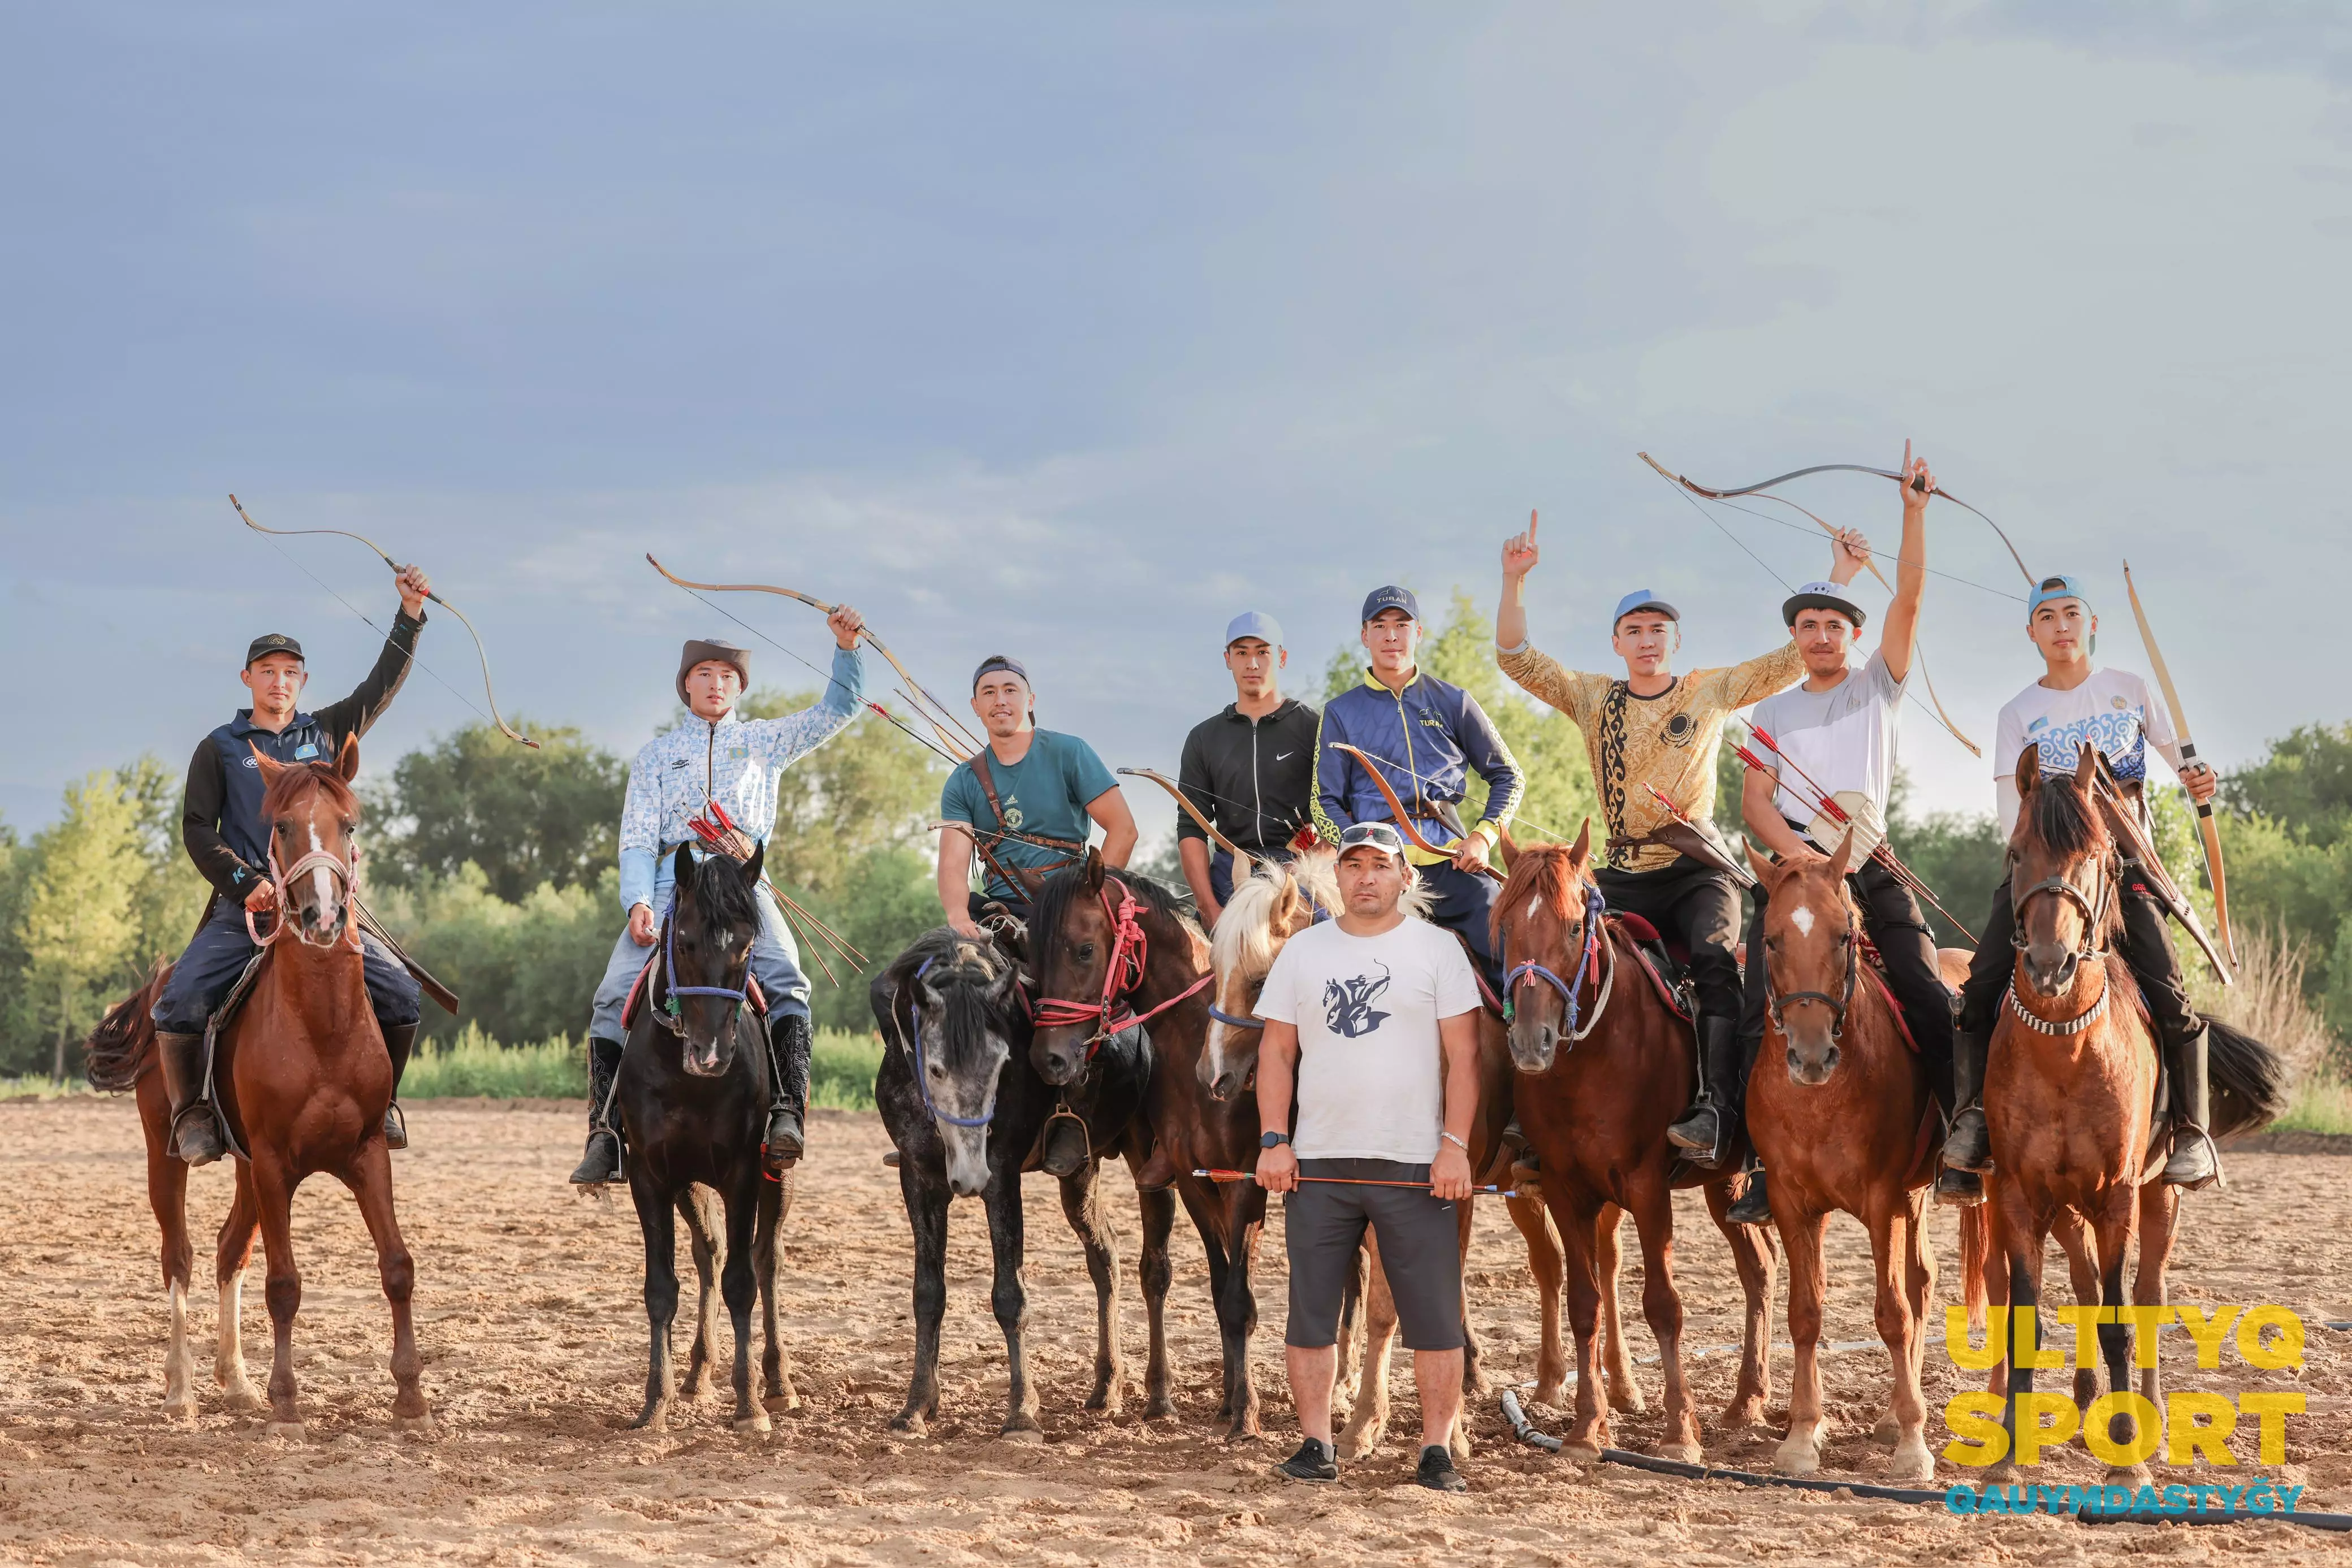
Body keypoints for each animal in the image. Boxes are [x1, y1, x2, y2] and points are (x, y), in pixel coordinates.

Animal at [85, 743, 433, 1439]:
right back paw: (182, 1389)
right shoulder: (276, 1165)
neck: (321, 1023)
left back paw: (237, 1381)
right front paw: (288, 1402)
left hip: (247, 1169)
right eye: (284, 826)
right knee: (181, 1255)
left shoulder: (365, 1156)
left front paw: (410, 1398)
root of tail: (159, 985)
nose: (323, 916)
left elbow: (397, 1267)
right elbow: (284, 1284)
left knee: (227, 1250)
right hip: (167, 1156)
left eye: (348, 825)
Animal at [607, 846, 799, 1439]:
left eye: (747, 946)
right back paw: (696, 1372)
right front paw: (655, 1401)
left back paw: (777, 1381)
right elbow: (661, 1288)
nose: (711, 1054)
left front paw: (750, 1405)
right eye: (685, 942)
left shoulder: (742, 1172)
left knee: (766, 1260)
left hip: (776, 1176)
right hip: (688, 1184)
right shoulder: (650, 1176)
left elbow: (743, 1281)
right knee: (709, 1252)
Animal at [1495, 827, 1769, 1467]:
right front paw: (1584, 1427)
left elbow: (1663, 1304)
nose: (1531, 1042)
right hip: (1726, 1187)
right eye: (1505, 925)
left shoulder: (1646, 1187)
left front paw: (1678, 1432)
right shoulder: (1565, 1188)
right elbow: (1583, 1302)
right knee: (1759, 1272)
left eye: (1575, 927)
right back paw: (1747, 1400)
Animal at [1740, 832, 1994, 1485]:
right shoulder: (1792, 1202)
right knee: (1923, 1279)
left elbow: (1891, 1312)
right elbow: (1806, 1311)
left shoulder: (1883, 1200)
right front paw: (1802, 1435)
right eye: (1771, 939)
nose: (1810, 1055)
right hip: (1914, 1197)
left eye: (1843, 935)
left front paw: (1912, 1445)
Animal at [1975, 747, 2286, 1485]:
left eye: (2096, 855)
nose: (2049, 964)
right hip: (2064, 1208)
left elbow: (2120, 1317)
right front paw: (2008, 1451)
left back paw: (2146, 1414)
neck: (2064, 1049)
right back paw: (2086, 1399)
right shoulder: (2018, 1195)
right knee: (2086, 1283)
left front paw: (2125, 1457)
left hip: (2157, 1194)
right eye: (2015, 852)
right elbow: (2027, 1317)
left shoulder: (2116, 1194)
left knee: (2144, 1293)